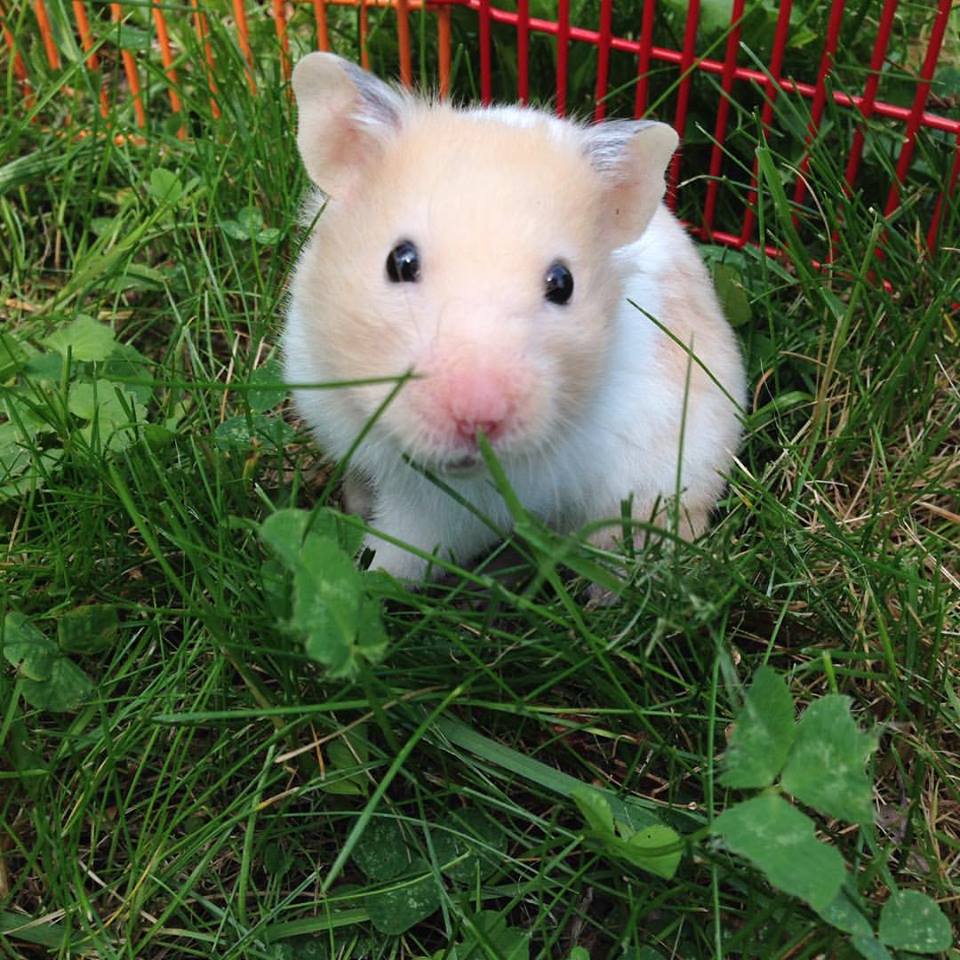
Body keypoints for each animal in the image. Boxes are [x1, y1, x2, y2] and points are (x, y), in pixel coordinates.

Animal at [284, 54, 752, 584]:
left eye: (562, 284)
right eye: (399, 261)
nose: (479, 416)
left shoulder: (450, 513)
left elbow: (399, 553)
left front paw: (364, 576)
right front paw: (351, 506)